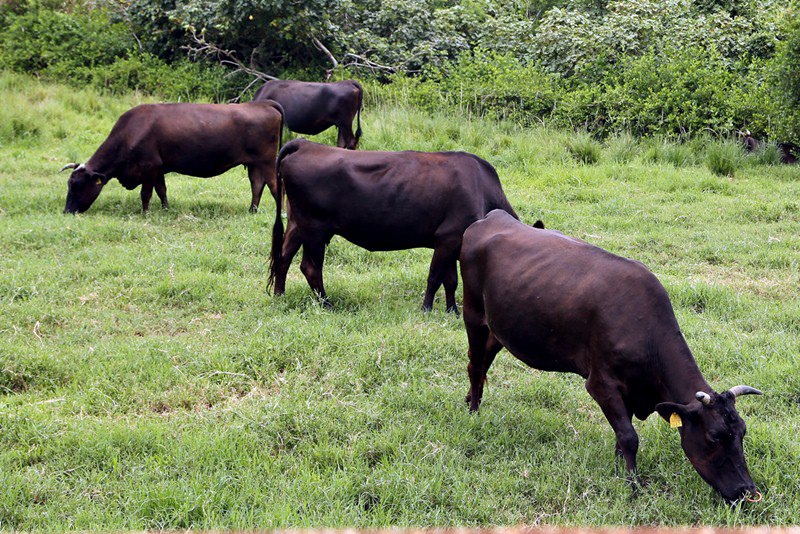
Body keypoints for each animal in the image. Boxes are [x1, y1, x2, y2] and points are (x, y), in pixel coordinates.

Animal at [61, 101, 284, 215]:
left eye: (77, 185)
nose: (67, 211)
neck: (129, 133)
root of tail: (262, 103)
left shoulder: (149, 167)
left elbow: (146, 194)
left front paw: (145, 214)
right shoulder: (158, 169)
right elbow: (162, 191)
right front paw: (165, 209)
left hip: (267, 161)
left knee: (274, 186)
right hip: (254, 164)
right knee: (257, 185)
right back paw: (252, 210)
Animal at [268, 139, 520, 314]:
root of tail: (304, 144)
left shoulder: (450, 242)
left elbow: (450, 280)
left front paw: (452, 311)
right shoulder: (449, 237)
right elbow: (434, 277)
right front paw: (426, 309)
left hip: (296, 224)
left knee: (283, 257)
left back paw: (280, 296)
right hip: (314, 229)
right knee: (310, 267)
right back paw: (327, 304)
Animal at [456, 210, 764, 506]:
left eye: (742, 432)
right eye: (714, 437)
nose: (747, 491)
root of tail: (493, 217)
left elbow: (621, 434)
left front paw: (619, 470)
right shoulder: (602, 383)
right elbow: (629, 435)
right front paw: (632, 484)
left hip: (499, 328)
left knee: (483, 363)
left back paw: (470, 399)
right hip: (473, 314)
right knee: (474, 364)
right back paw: (473, 412)